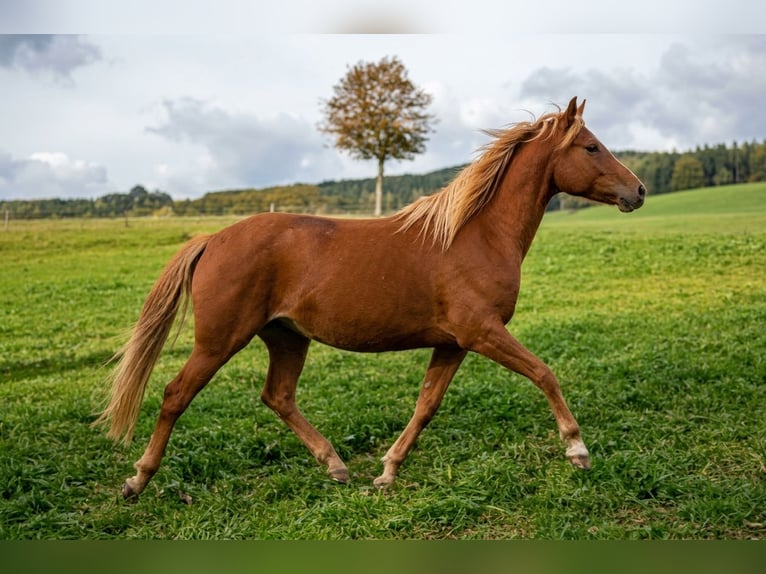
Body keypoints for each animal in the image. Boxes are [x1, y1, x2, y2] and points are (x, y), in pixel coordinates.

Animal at [94, 97, 646, 500]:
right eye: (591, 147)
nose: (638, 191)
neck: (477, 235)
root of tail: (212, 239)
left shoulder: (453, 343)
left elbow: (427, 405)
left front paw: (387, 471)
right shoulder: (481, 332)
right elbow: (544, 373)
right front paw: (577, 449)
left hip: (286, 337)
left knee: (278, 396)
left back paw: (336, 466)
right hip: (219, 340)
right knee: (175, 395)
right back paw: (137, 480)